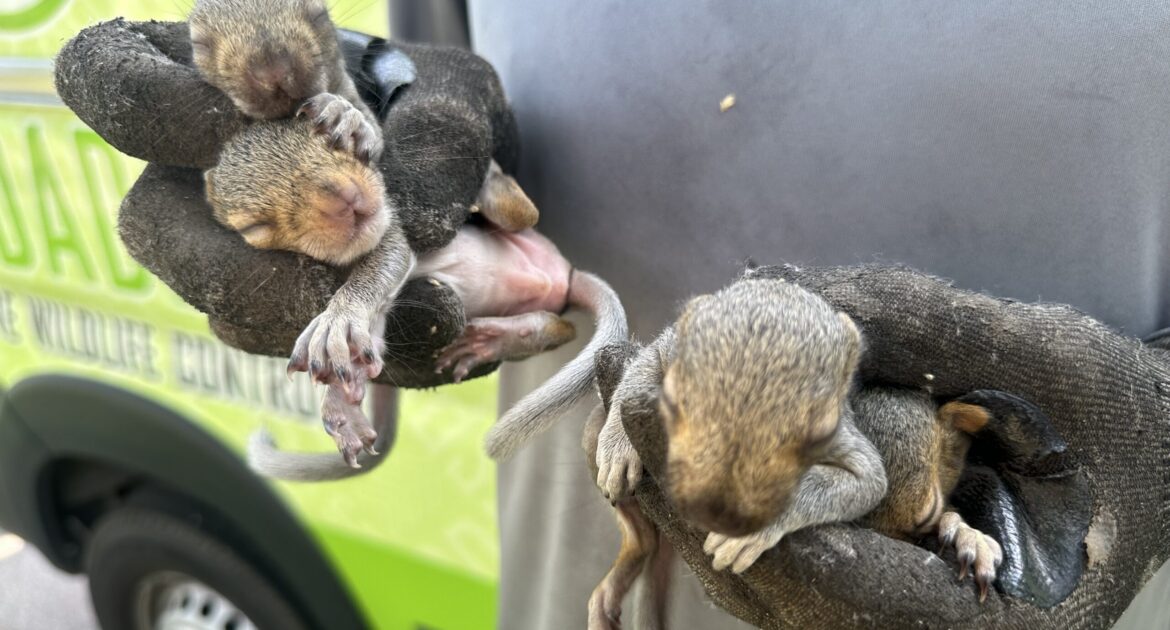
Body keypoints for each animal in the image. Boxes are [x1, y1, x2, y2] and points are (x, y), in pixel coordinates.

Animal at [204, 110, 627, 479]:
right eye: (254, 226)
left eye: (332, 140)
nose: (344, 196)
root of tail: (564, 276)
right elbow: (371, 336)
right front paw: (341, 403)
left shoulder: (395, 230)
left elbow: (380, 266)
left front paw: (336, 321)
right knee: (562, 328)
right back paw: (497, 338)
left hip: (519, 227)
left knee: (524, 216)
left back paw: (491, 186)